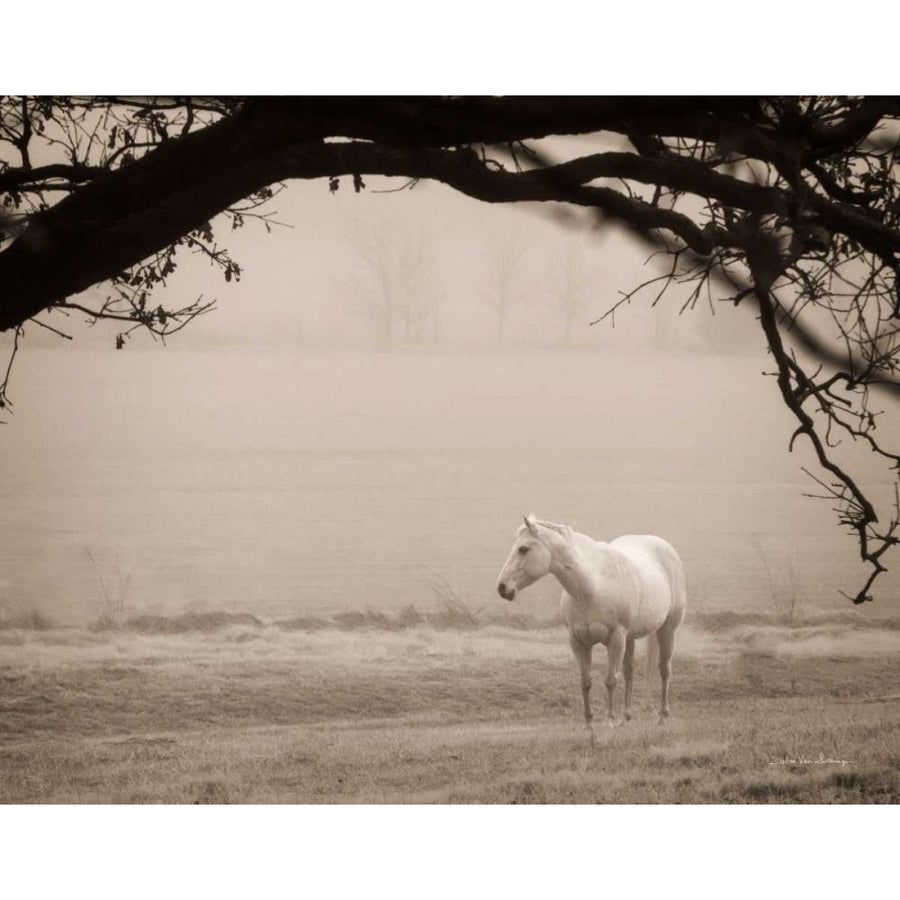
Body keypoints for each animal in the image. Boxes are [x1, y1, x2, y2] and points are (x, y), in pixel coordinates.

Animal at [496, 512, 684, 740]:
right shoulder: (578, 641)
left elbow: (610, 680)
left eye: (523, 549)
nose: (502, 587)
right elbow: (585, 682)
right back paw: (626, 718)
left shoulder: (615, 639)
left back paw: (662, 717)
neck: (592, 586)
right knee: (629, 671)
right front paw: (588, 725)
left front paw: (609, 722)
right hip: (630, 638)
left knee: (664, 669)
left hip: (667, 628)